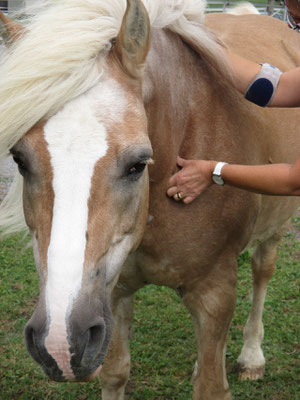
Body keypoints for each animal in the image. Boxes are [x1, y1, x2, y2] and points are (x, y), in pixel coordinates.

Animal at [0, 0, 298, 400]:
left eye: (138, 163)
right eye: (19, 159)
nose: (61, 343)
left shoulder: (215, 294)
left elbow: (211, 385)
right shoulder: (111, 294)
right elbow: (116, 373)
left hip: (274, 228)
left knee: (262, 270)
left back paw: (252, 357)